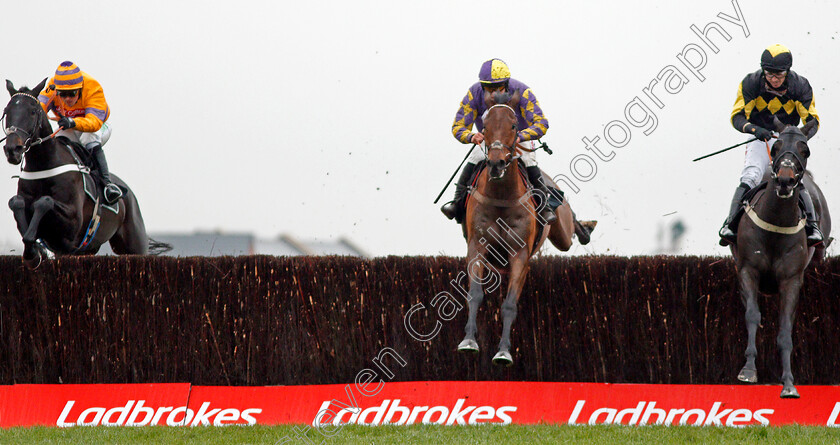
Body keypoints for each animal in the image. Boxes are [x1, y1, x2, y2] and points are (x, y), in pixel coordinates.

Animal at [3, 79, 167, 268]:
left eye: (32, 111)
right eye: (6, 111)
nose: (12, 149)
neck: (44, 165)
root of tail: (129, 193)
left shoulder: (72, 224)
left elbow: (44, 201)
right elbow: (17, 203)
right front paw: (35, 252)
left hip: (134, 243)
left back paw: (112, 190)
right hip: (86, 250)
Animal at [456, 89, 592, 364]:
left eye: (513, 125)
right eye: (485, 126)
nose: (496, 163)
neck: (501, 195)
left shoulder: (519, 253)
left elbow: (509, 304)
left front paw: (504, 351)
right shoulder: (477, 248)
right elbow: (474, 294)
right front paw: (469, 341)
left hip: (561, 234)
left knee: (569, 229)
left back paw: (584, 227)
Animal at [732, 117, 832, 396]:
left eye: (805, 150)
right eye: (775, 147)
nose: (786, 181)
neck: (775, 222)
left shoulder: (791, 280)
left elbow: (786, 328)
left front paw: (788, 383)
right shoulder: (748, 270)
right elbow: (752, 315)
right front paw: (748, 369)